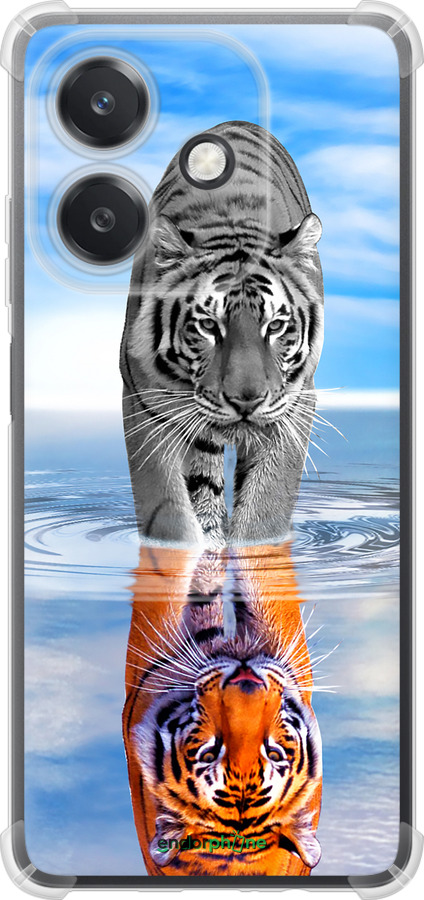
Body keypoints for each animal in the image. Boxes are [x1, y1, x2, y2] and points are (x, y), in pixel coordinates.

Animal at [120, 120, 324, 549]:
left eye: (275, 326)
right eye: (209, 325)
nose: (246, 400)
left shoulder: (295, 404)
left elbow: (265, 509)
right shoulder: (144, 402)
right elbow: (168, 512)